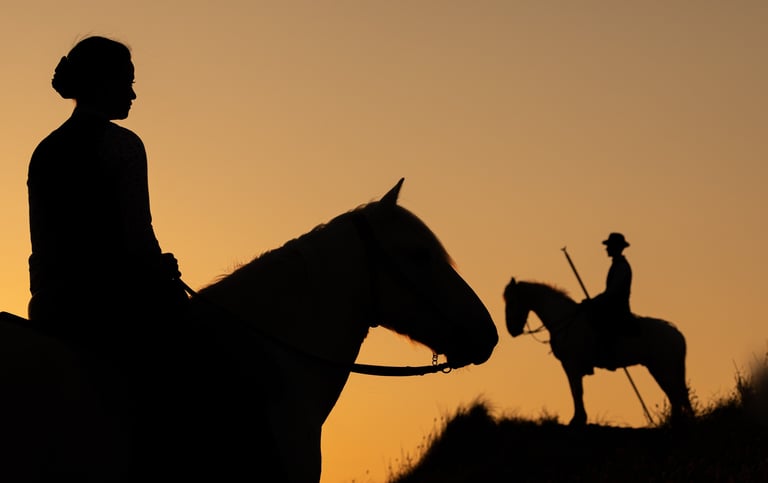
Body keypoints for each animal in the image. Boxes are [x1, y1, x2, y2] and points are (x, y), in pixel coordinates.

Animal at [503, 277, 692, 427]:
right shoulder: (571, 366)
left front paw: (578, 419)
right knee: (675, 395)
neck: (565, 320)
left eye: (511, 302)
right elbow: (575, 391)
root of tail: (677, 334)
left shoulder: (571, 364)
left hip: (663, 368)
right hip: (659, 369)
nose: (512, 330)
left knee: (677, 394)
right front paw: (578, 418)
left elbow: (576, 391)